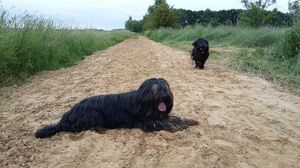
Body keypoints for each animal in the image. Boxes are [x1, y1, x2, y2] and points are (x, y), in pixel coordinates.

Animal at [35, 77, 199, 138]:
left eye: (165, 87)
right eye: (155, 89)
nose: (165, 96)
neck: (145, 102)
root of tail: (66, 116)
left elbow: (174, 118)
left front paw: (190, 121)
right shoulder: (145, 122)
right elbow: (165, 123)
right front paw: (177, 127)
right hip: (93, 114)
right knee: (78, 127)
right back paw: (99, 129)